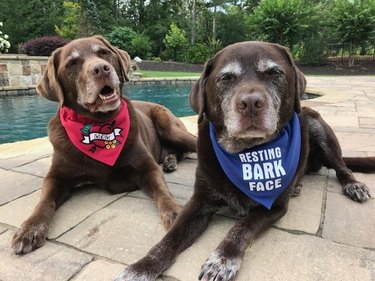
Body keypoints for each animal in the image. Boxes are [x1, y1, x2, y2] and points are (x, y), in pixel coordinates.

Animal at [11, 35, 197, 254]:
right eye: (72, 63)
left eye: (104, 53)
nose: (101, 69)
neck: (100, 124)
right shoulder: (56, 177)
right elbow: (44, 201)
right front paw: (30, 228)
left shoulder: (147, 168)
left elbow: (162, 191)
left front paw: (175, 212)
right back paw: (169, 161)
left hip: (169, 127)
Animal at [116, 41, 374, 280]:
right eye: (226, 77)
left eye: (274, 73)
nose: (250, 103)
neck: (246, 152)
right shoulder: (198, 202)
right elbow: (168, 240)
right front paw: (140, 267)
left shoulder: (275, 207)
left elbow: (243, 226)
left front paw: (222, 260)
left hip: (318, 126)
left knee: (341, 166)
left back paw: (352, 185)